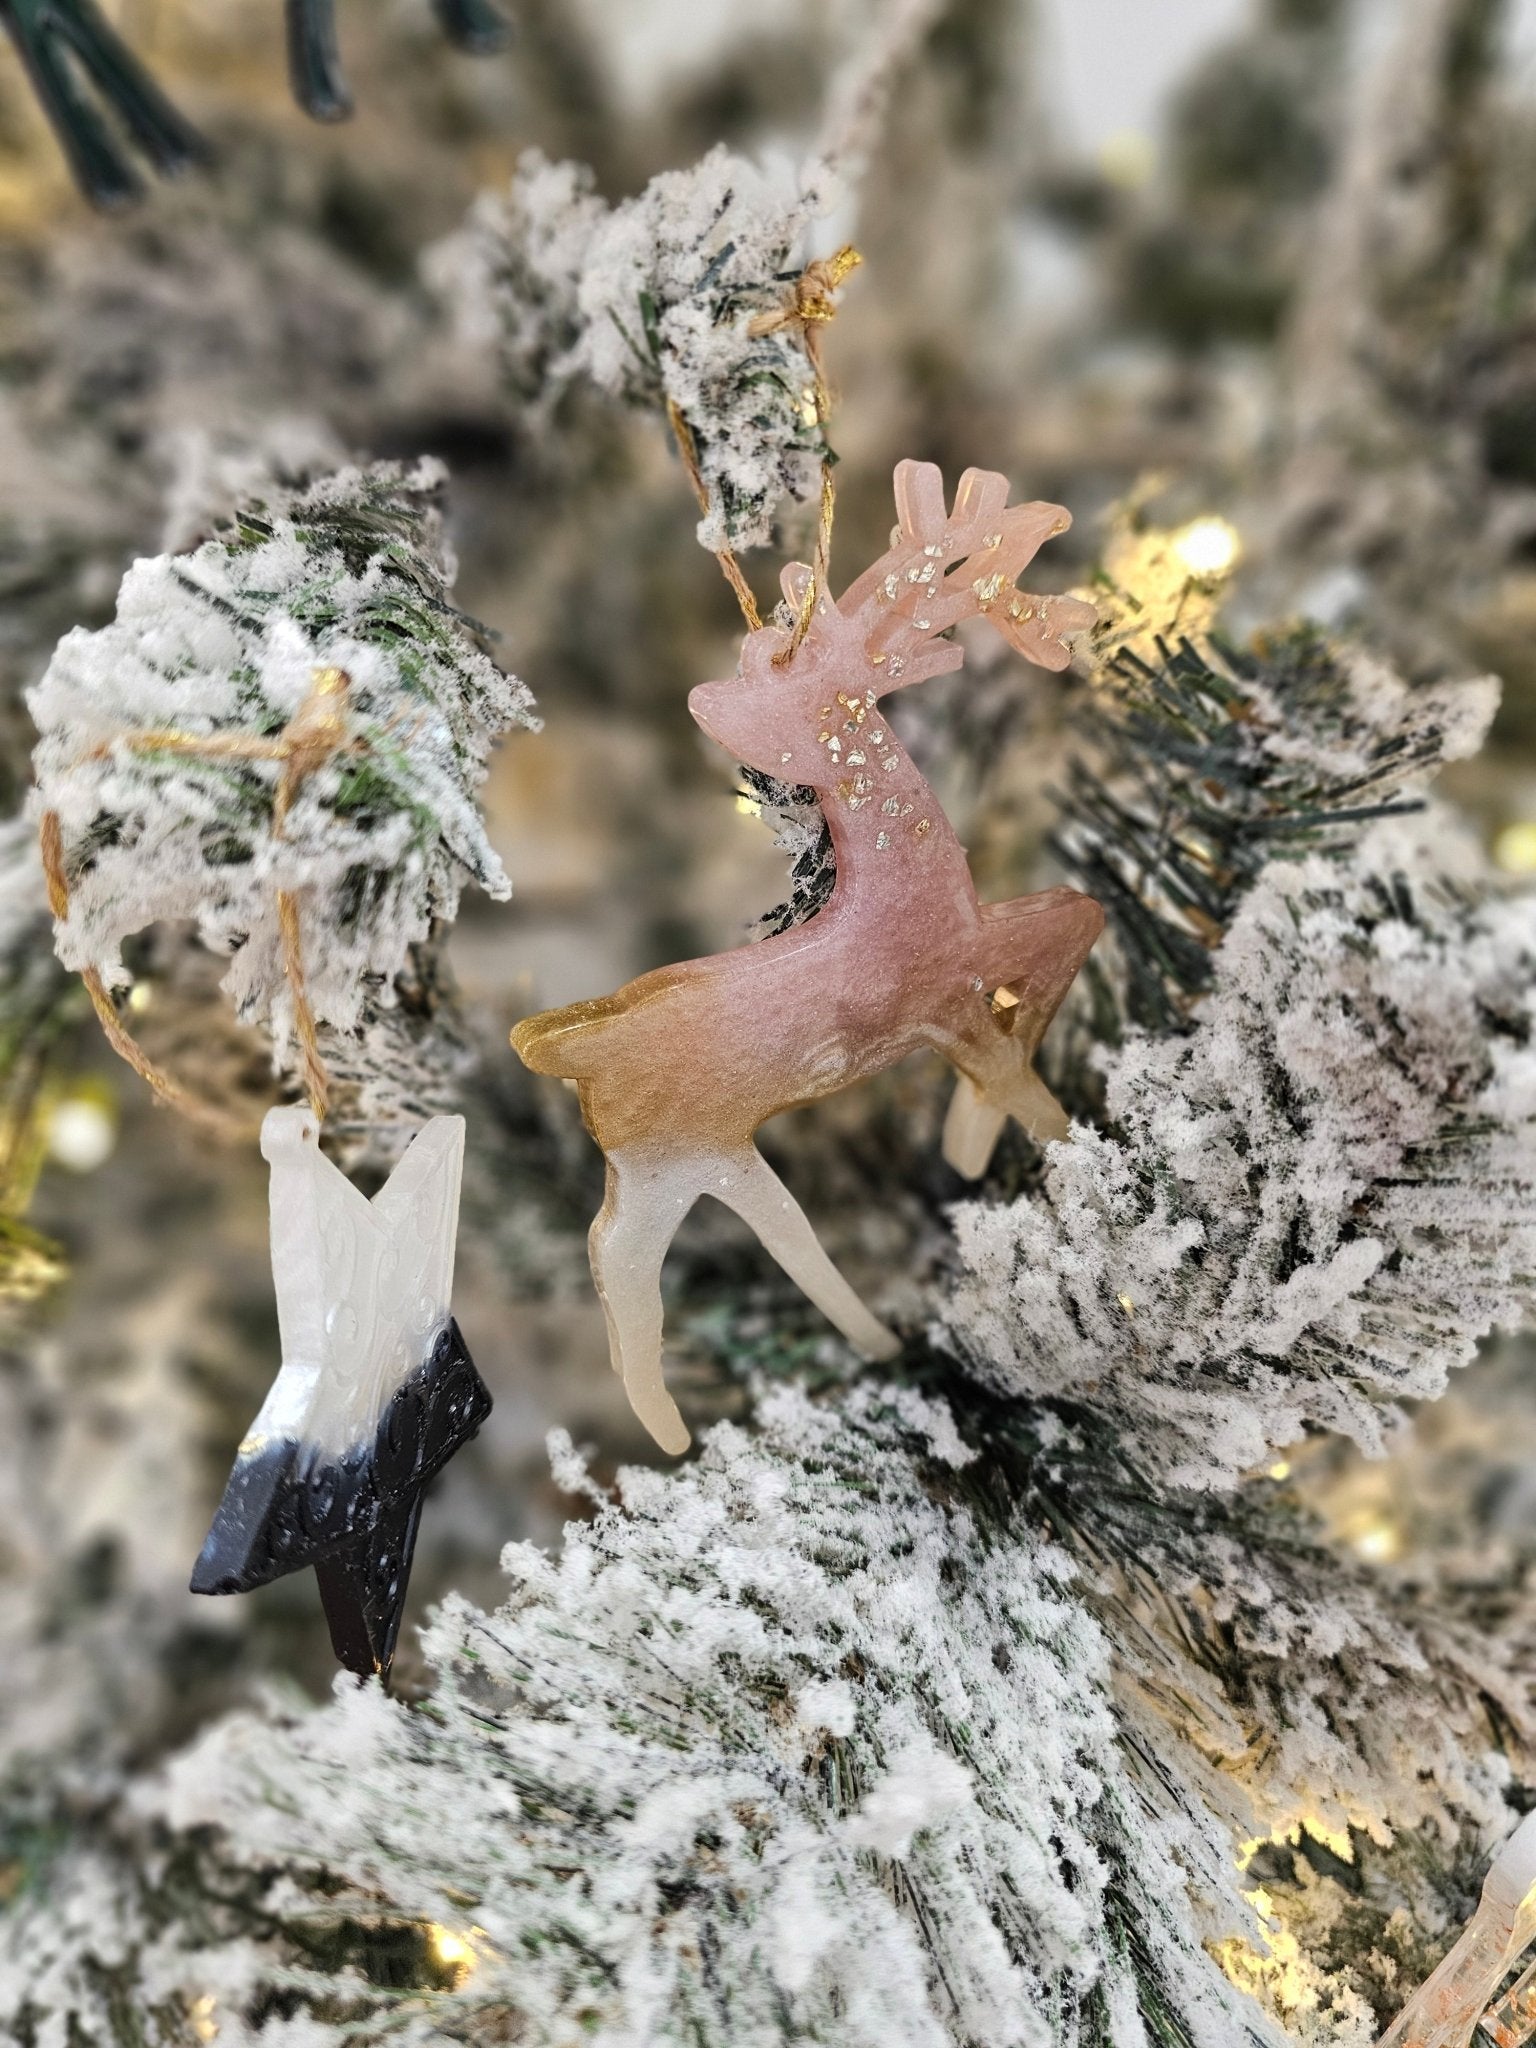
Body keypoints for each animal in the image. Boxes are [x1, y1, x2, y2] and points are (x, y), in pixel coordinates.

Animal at [512, 462, 1104, 1455]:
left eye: (774, 681)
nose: (706, 701)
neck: (916, 885)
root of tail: (563, 1050)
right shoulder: (944, 997)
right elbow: (1017, 1064)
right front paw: (1049, 1145)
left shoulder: (981, 950)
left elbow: (1076, 916)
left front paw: (969, 1138)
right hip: (675, 1159)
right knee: (625, 1267)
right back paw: (675, 1431)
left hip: (709, 1156)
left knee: (746, 1237)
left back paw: (853, 1346)